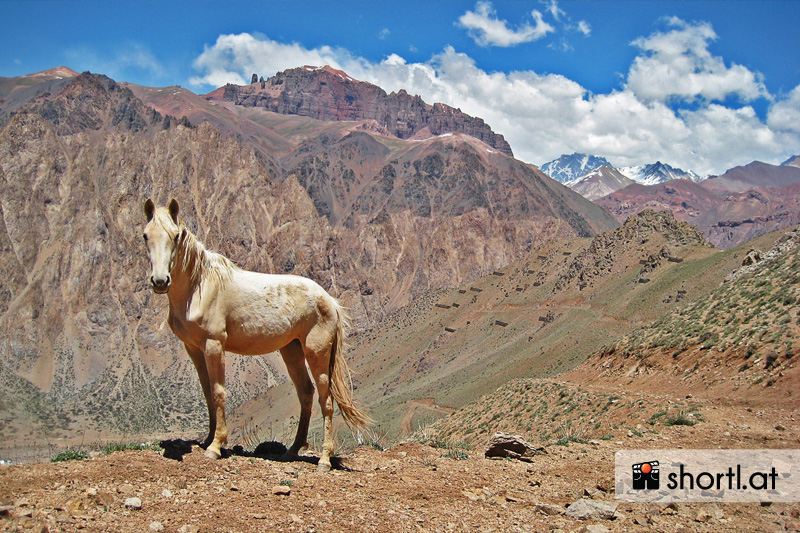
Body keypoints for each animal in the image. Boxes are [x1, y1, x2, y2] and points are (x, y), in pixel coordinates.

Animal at [142, 198, 370, 470]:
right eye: (145, 235)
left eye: (175, 236)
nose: (160, 281)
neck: (200, 286)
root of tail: (330, 300)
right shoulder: (194, 348)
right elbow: (207, 392)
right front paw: (207, 439)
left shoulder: (214, 345)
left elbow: (219, 392)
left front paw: (215, 446)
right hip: (291, 350)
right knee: (305, 393)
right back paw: (292, 451)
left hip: (317, 354)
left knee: (326, 401)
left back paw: (324, 460)